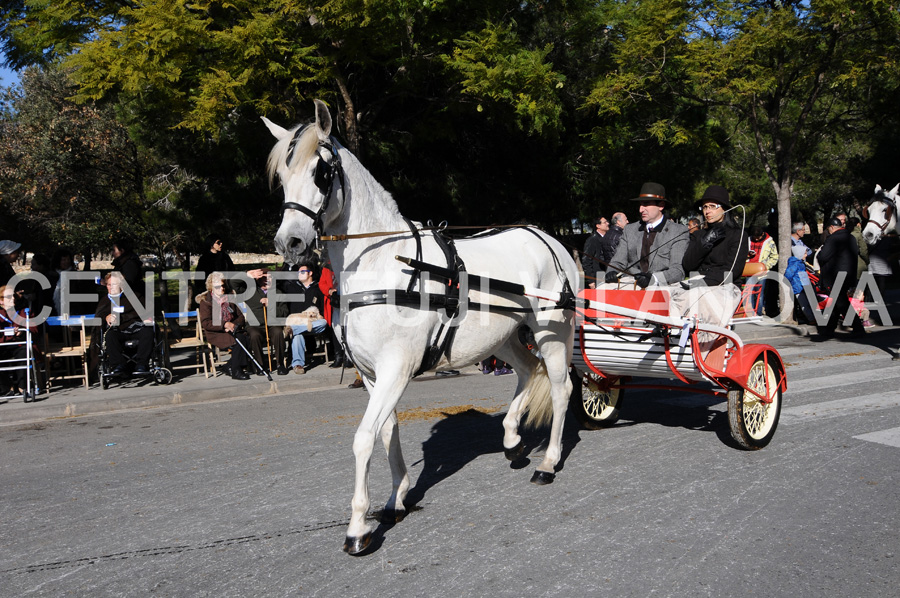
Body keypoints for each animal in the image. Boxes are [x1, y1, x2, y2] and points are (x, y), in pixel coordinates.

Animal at [264, 99, 580, 556]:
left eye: (321, 171)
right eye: (282, 177)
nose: (289, 243)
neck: (384, 264)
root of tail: (547, 237)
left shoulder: (397, 368)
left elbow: (364, 438)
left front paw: (358, 527)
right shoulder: (372, 374)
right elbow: (387, 430)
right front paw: (397, 497)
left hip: (552, 331)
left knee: (559, 387)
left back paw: (549, 462)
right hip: (500, 337)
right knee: (525, 371)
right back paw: (511, 440)